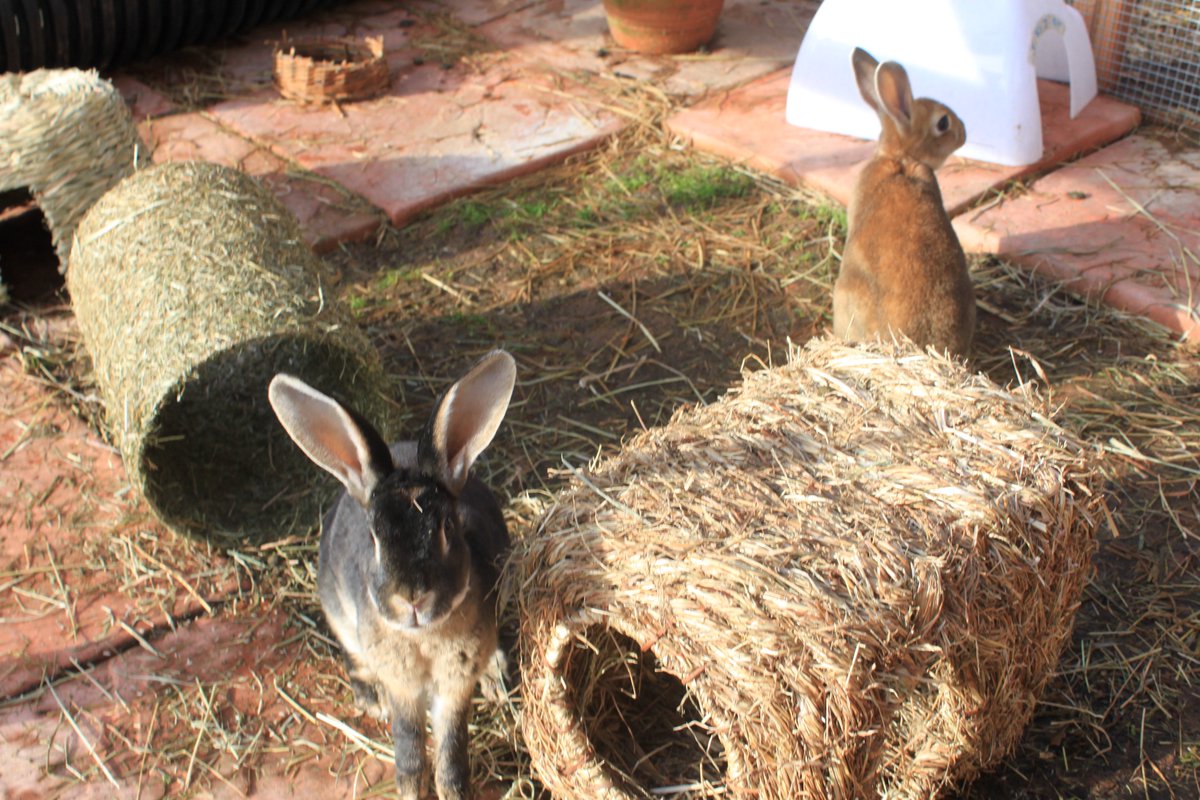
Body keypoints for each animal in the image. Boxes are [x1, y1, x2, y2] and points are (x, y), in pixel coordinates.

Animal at [267, 350, 517, 800]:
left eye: (448, 527)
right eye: (374, 536)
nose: (412, 598)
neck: (424, 638)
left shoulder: (454, 688)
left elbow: (451, 751)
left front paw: (454, 792)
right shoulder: (403, 687)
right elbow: (410, 748)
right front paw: (411, 791)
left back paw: (496, 678)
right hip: (339, 615)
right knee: (353, 658)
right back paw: (371, 699)